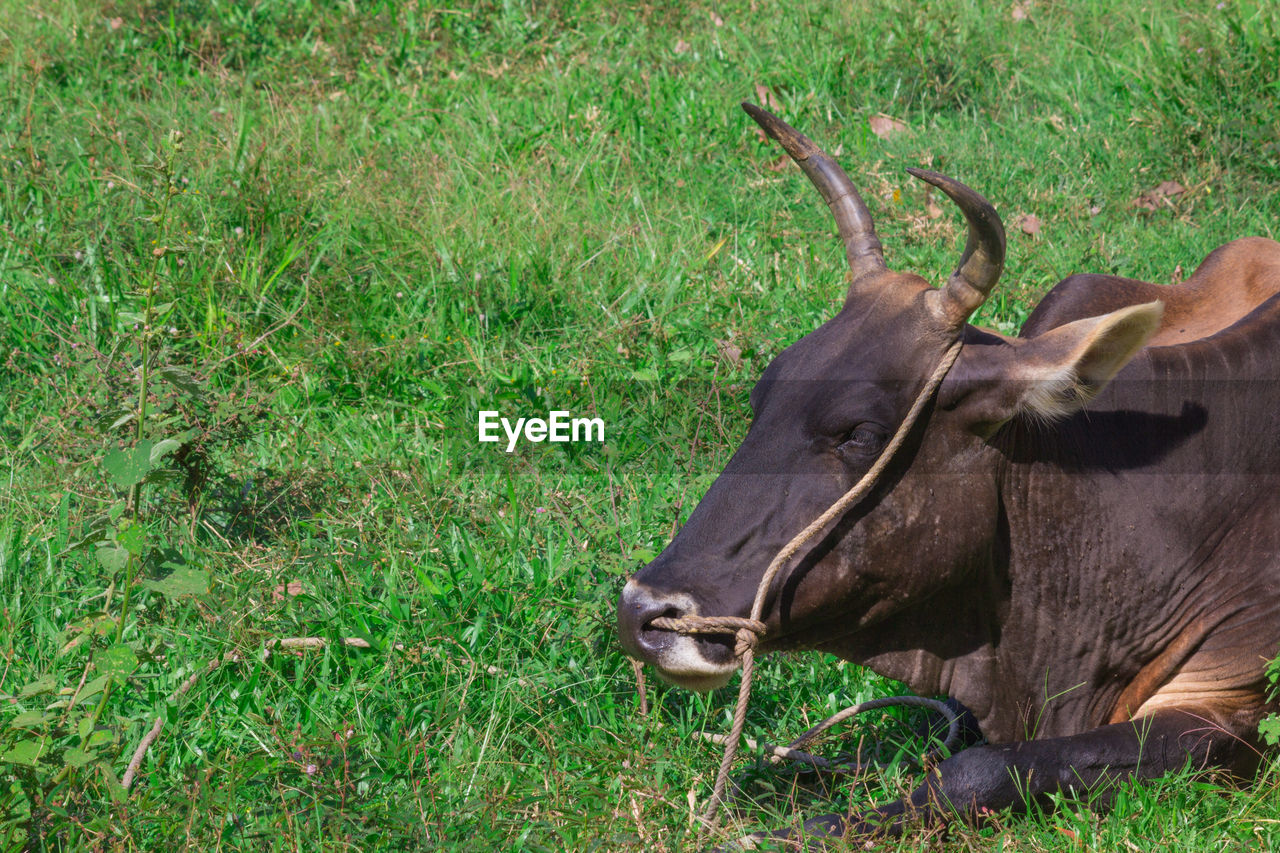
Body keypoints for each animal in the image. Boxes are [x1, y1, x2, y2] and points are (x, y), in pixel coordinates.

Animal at [614, 103, 1274, 840]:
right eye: (763, 398)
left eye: (861, 432)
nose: (644, 612)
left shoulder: (1229, 710)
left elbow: (976, 768)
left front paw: (792, 831)